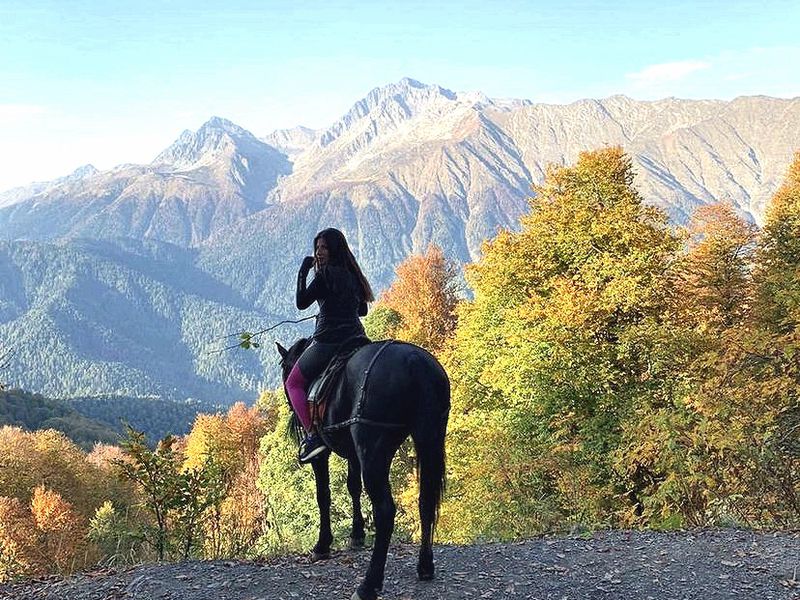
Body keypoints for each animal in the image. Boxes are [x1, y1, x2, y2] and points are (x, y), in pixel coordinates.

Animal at [276, 338, 450, 600]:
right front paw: (357, 535)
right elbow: (353, 487)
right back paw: (425, 566)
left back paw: (369, 584)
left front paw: (323, 544)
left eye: (286, 371)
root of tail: (415, 362)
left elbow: (323, 495)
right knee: (426, 501)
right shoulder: (353, 453)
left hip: (374, 449)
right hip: (429, 439)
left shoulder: (323, 455)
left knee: (385, 511)